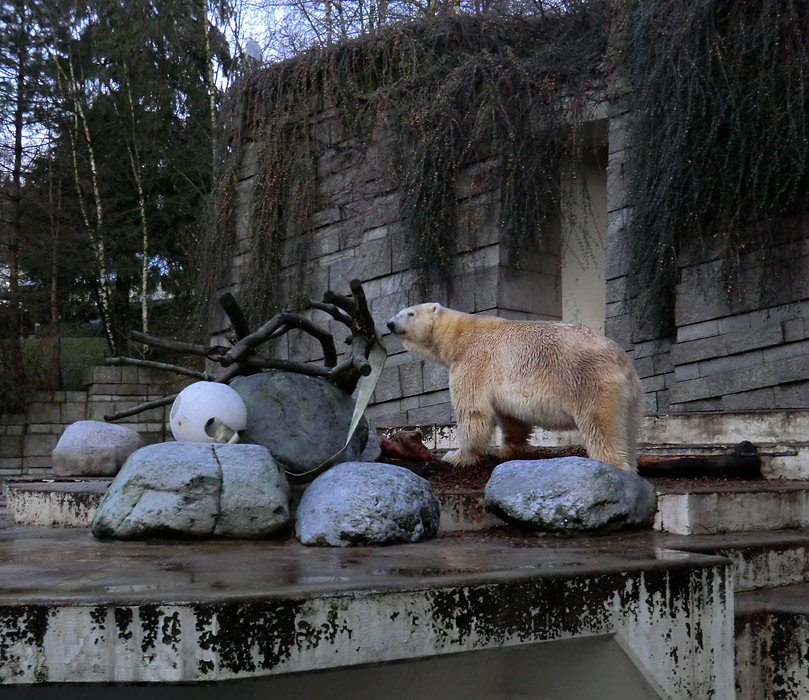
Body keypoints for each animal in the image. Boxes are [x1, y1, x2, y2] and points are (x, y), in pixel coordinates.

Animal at [388, 304, 640, 474]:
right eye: (400, 311)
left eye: (409, 313)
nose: (390, 323)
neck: (460, 336)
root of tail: (622, 362)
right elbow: (512, 418)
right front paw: (504, 451)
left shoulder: (473, 362)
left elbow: (473, 412)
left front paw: (457, 456)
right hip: (631, 398)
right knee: (626, 429)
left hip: (591, 383)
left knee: (601, 426)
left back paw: (613, 466)